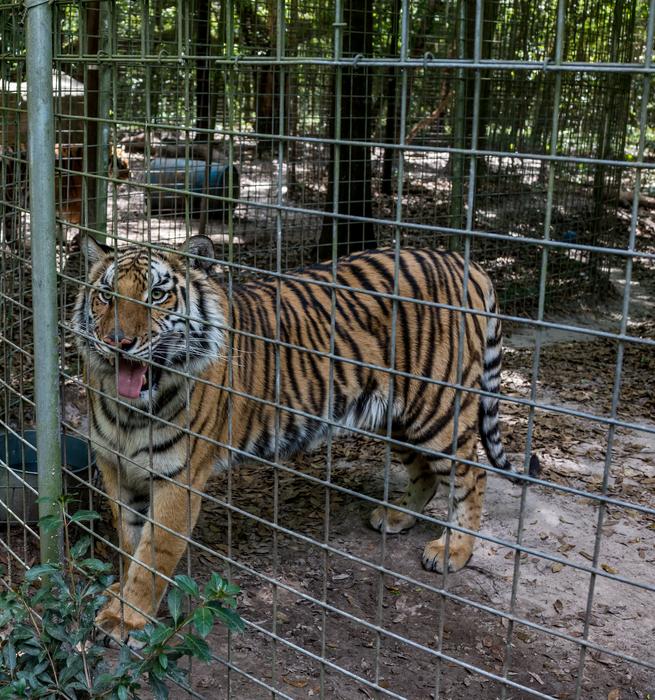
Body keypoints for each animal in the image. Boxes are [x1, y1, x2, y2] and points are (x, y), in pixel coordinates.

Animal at [72, 235, 539, 640]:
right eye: (106, 295)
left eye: (156, 295)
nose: (118, 342)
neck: (130, 410)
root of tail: (462, 260)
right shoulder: (116, 467)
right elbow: (129, 540)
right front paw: (119, 595)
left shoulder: (178, 479)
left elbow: (153, 554)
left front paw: (126, 619)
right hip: (398, 416)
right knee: (424, 474)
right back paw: (396, 516)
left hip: (437, 410)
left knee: (471, 477)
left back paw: (452, 551)